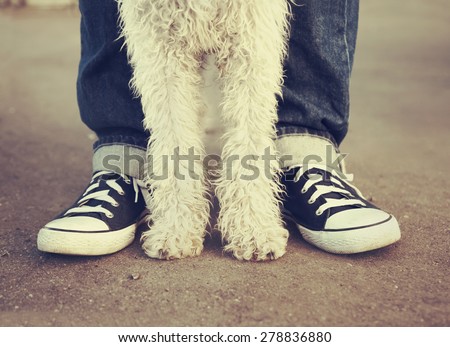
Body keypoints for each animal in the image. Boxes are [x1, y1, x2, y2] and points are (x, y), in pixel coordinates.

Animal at [118, 0, 290, 260]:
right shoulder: (162, 46)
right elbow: (175, 142)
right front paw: (176, 228)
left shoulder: (250, 38)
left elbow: (248, 141)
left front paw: (253, 229)